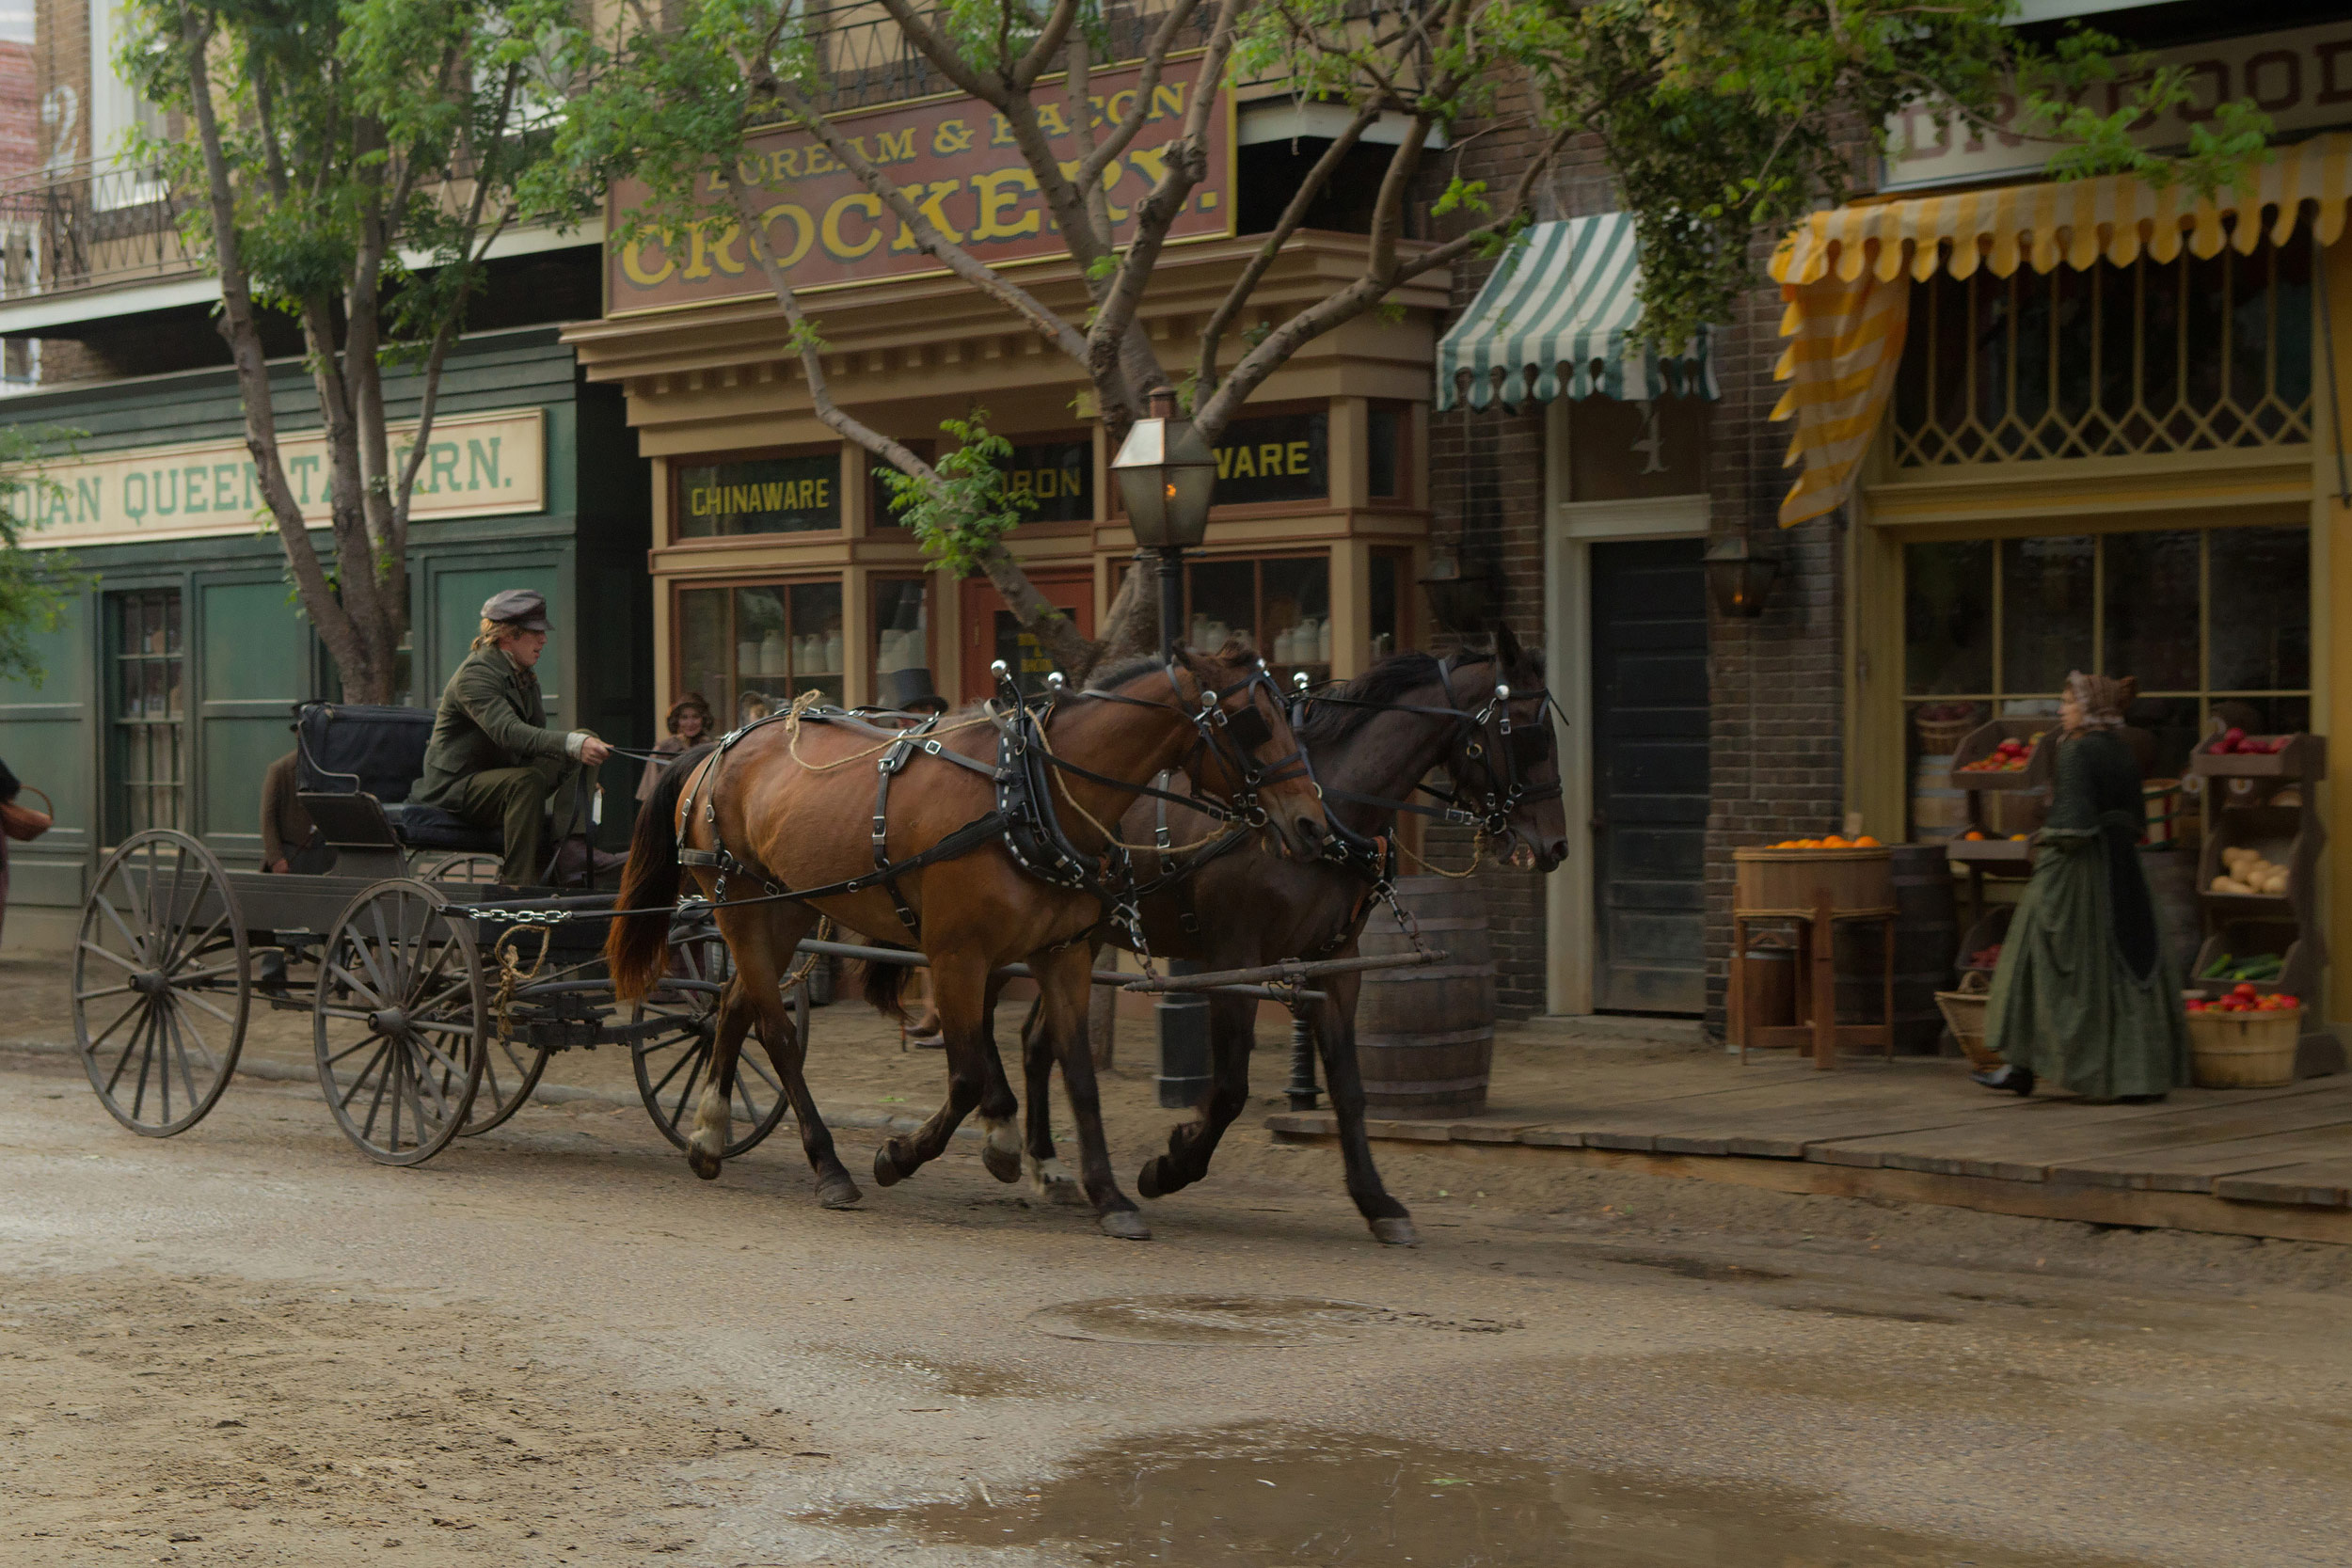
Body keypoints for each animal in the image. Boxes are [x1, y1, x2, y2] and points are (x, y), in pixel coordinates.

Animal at [607, 639, 1336, 1241]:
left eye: (1289, 714)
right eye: (1252, 723)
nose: (1312, 824)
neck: (1029, 795)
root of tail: (720, 746)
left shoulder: (1062, 954)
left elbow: (1076, 1072)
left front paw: (1108, 1194)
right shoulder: (958, 955)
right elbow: (965, 1076)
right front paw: (899, 1155)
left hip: (782, 910)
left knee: (731, 1006)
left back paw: (707, 1134)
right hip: (740, 901)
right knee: (777, 1032)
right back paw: (829, 1165)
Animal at [1025, 629, 1562, 1241]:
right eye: (1533, 734)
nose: (1557, 845)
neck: (1331, 803)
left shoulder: (1337, 961)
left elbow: (1350, 1089)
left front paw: (1376, 1200)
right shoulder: (1233, 959)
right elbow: (1230, 1089)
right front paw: (1171, 1164)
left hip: (1074, 940)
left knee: (1038, 1039)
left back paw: (1041, 1162)